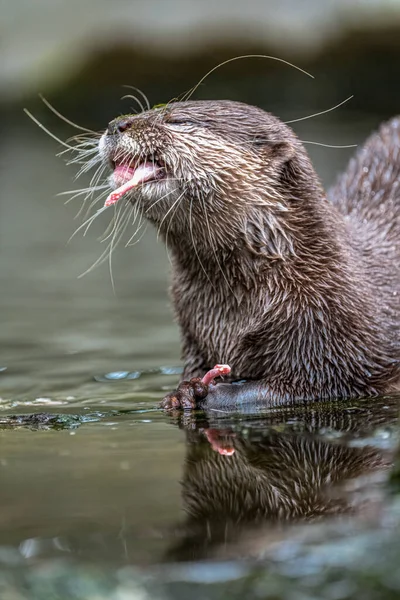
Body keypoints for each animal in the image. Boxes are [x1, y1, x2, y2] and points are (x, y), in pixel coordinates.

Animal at [97, 101, 400, 410]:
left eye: (178, 120)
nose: (115, 125)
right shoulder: (194, 336)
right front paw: (180, 392)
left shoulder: (337, 358)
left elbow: (304, 387)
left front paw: (215, 393)